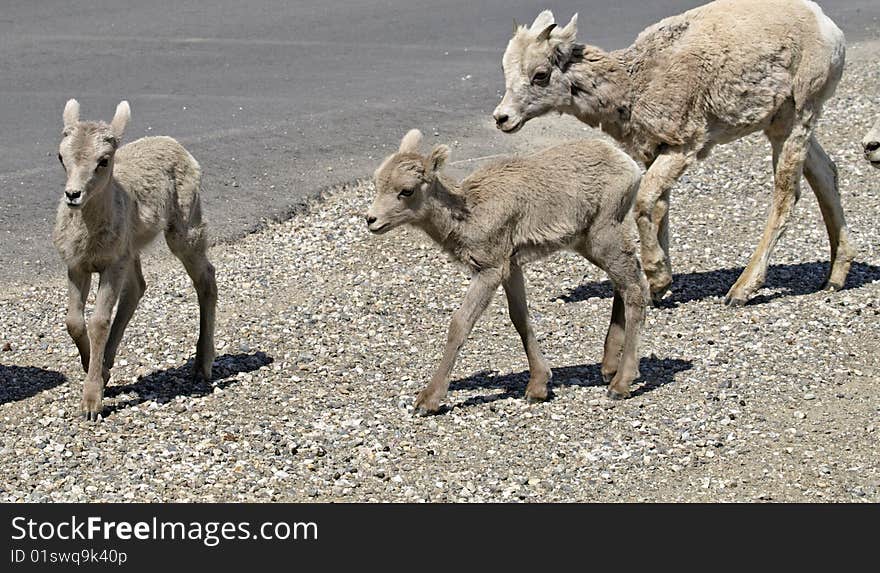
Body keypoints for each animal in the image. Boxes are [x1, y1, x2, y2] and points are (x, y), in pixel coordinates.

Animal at [52, 99, 217, 420]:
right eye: (61, 156)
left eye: (103, 160)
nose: (73, 195)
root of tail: (177, 146)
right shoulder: (77, 266)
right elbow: (74, 322)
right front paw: (94, 368)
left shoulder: (111, 265)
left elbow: (99, 322)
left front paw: (91, 402)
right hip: (132, 251)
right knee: (138, 288)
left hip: (184, 228)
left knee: (206, 278)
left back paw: (202, 365)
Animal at [364, 129, 648, 414]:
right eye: (377, 182)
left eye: (406, 190)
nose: (371, 220)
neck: (469, 215)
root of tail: (629, 165)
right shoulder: (511, 267)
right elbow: (520, 318)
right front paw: (537, 387)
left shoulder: (489, 270)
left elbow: (460, 323)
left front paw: (428, 401)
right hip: (588, 242)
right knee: (623, 284)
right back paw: (608, 369)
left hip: (604, 235)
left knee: (635, 290)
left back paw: (620, 384)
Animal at [498, 0, 856, 306]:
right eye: (506, 72)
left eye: (540, 75)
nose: (502, 118)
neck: (634, 83)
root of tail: (826, 25)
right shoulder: (654, 151)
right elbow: (659, 208)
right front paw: (660, 288)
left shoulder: (684, 146)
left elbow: (644, 201)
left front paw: (657, 279)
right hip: (780, 123)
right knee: (826, 174)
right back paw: (834, 279)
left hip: (799, 115)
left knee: (786, 195)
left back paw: (740, 291)